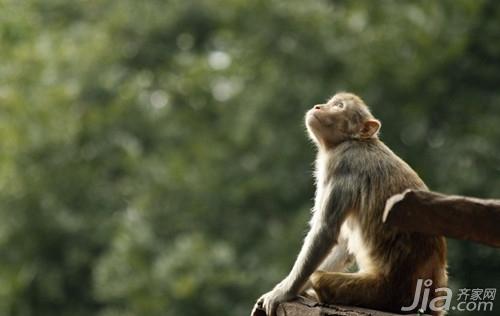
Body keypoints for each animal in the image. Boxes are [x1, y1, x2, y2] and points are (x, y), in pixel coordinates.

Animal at [252, 92, 448, 316]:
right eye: (331, 103)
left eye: (339, 106)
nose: (318, 107)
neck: (351, 141)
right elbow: (343, 244)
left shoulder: (341, 167)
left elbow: (325, 232)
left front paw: (283, 293)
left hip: (382, 292)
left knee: (320, 277)